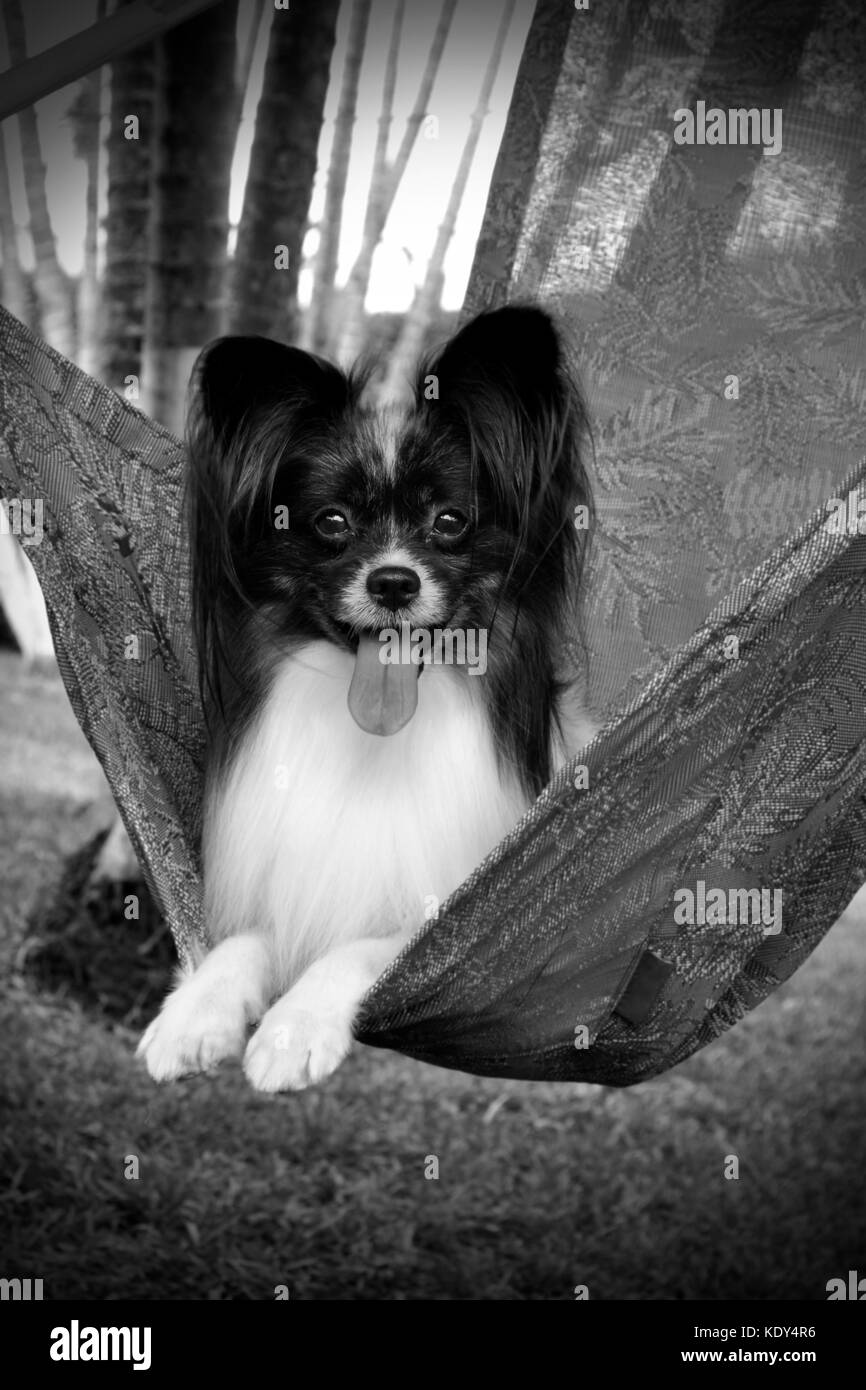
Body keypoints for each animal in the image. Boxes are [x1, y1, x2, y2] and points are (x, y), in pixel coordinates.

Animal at [139, 309, 600, 1089]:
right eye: (331, 523)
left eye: (449, 521)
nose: (392, 582)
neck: (375, 742)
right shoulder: (284, 887)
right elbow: (245, 943)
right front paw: (194, 1014)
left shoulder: (442, 915)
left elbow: (353, 951)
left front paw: (292, 1031)